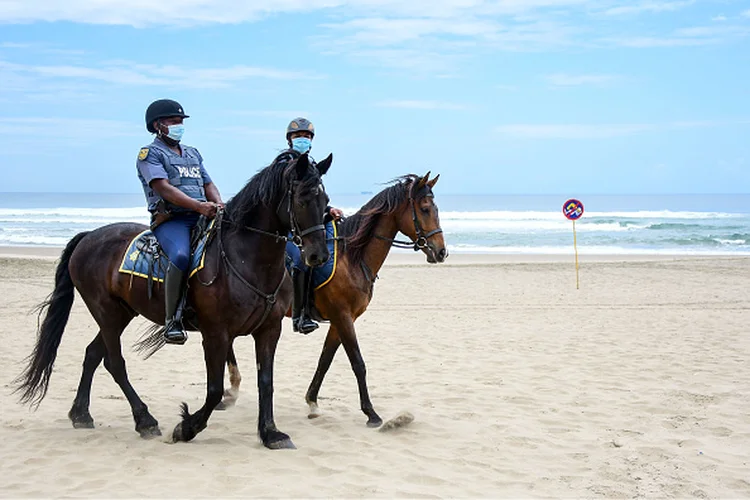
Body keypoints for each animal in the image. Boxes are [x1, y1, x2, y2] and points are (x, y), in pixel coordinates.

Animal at [13, 153, 332, 450]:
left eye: (326, 200)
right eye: (303, 200)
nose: (318, 255)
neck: (244, 258)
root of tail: (90, 235)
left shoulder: (268, 330)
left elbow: (266, 382)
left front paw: (270, 433)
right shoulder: (216, 334)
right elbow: (214, 389)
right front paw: (186, 428)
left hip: (121, 313)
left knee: (93, 354)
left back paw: (81, 414)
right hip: (106, 312)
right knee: (114, 362)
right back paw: (145, 420)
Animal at [220, 172, 450, 426]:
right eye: (425, 209)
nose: (441, 252)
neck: (352, 258)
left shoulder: (341, 320)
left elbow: (325, 360)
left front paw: (312, 402)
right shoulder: (342, 316)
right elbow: (358, 363)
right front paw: (371, 413)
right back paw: (231, 389)